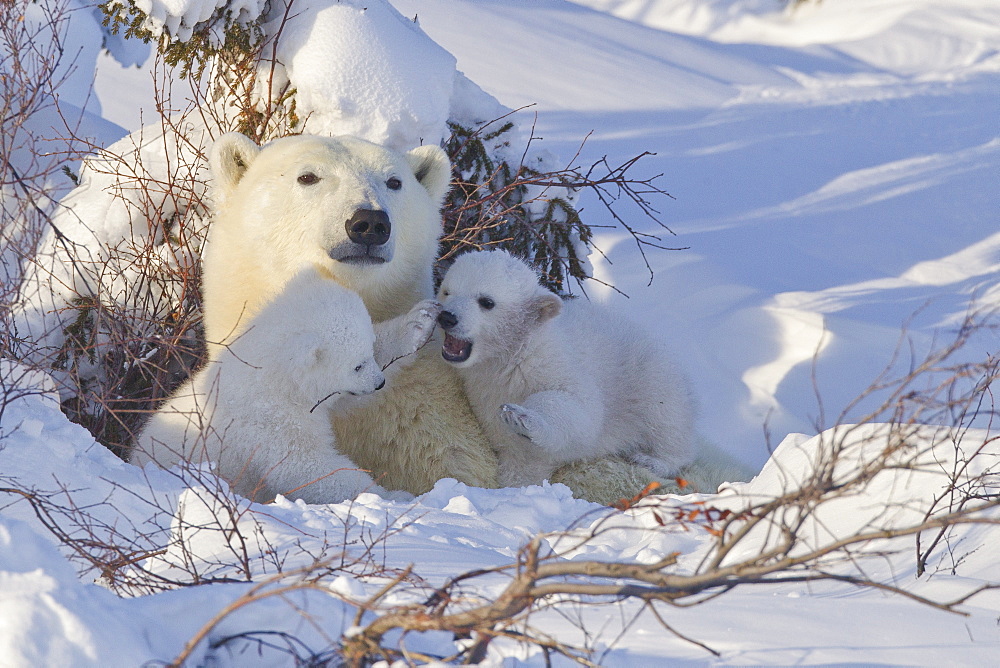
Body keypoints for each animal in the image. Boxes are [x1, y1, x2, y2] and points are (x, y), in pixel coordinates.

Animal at [130, 264, 434, 500]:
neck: (274, 378)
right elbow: (305, 467)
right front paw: (393, 496)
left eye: (369, 350)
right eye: (357, 365)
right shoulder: (270, 422)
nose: (378, 382)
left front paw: (420, 321)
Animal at [438, 248, 696, 488]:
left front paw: (521, 417)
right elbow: (518, 458)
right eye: (447, 291)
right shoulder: (484, 397)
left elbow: (580, 410)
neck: (516, 355)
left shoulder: (558, 364)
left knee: (665, 417)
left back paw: (651, 459)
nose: (447, 317)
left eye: (486, 302)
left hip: (649, 371)